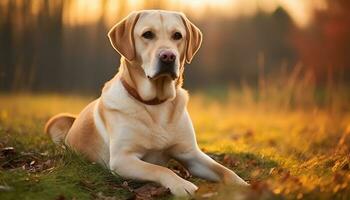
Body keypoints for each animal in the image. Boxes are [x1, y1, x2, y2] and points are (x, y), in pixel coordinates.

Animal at [46, 10, 247, 196]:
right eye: (148, 34)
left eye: (177, 35)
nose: (168, 56)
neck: (155, 104)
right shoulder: (122, 159)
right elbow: (159, 168)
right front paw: (182, 185)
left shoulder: (191, 154)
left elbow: (225, 171)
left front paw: (245, 185)